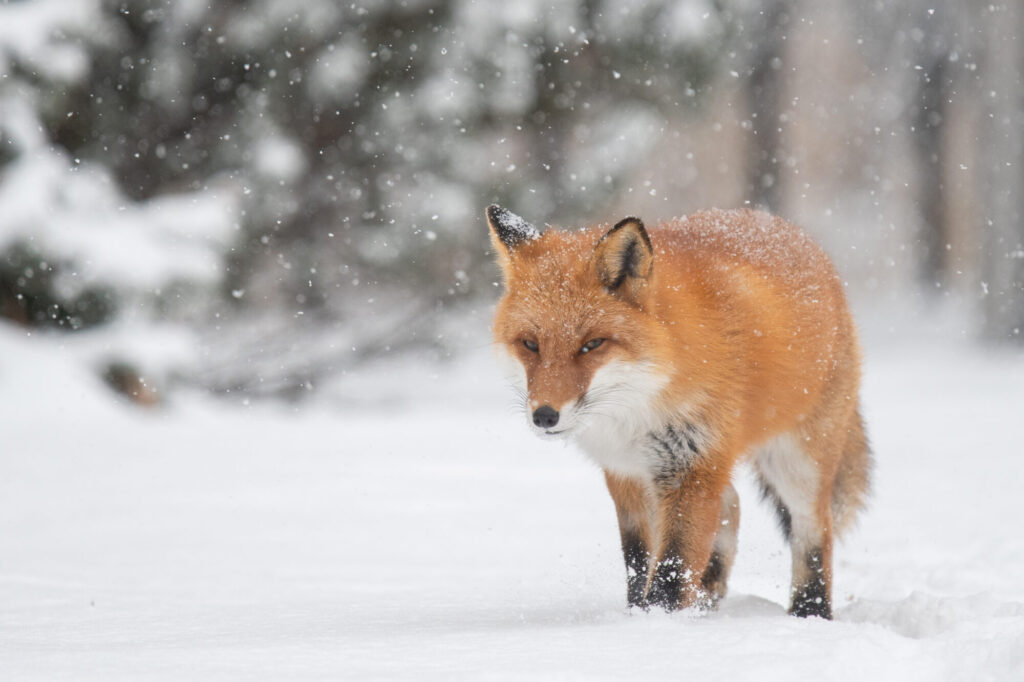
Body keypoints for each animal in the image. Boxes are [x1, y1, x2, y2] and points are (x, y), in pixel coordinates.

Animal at [487, 201, 872, 614]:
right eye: (530, 344)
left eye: (592, 345)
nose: (545, 415)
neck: (637, 408)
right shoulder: (627, 473)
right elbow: (640, 560)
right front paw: (638, 614)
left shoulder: (691, 467)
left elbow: (672, 569)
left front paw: (660, 620)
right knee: (732, 505)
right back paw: (708, 594)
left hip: (796, 462)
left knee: (814, 529)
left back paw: (809, 610)